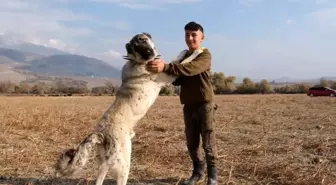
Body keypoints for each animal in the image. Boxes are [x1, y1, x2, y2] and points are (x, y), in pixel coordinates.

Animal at [55, 32, 205, 184]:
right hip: (124, 164)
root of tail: (101, 134)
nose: (149, 54)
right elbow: (181, 63)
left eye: (143, 40)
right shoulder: (168, 76)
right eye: (136, 47)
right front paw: (198, 51)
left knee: (99, 178)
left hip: (105, 163)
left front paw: (184, 51)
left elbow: (177, 60)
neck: (137, 62)